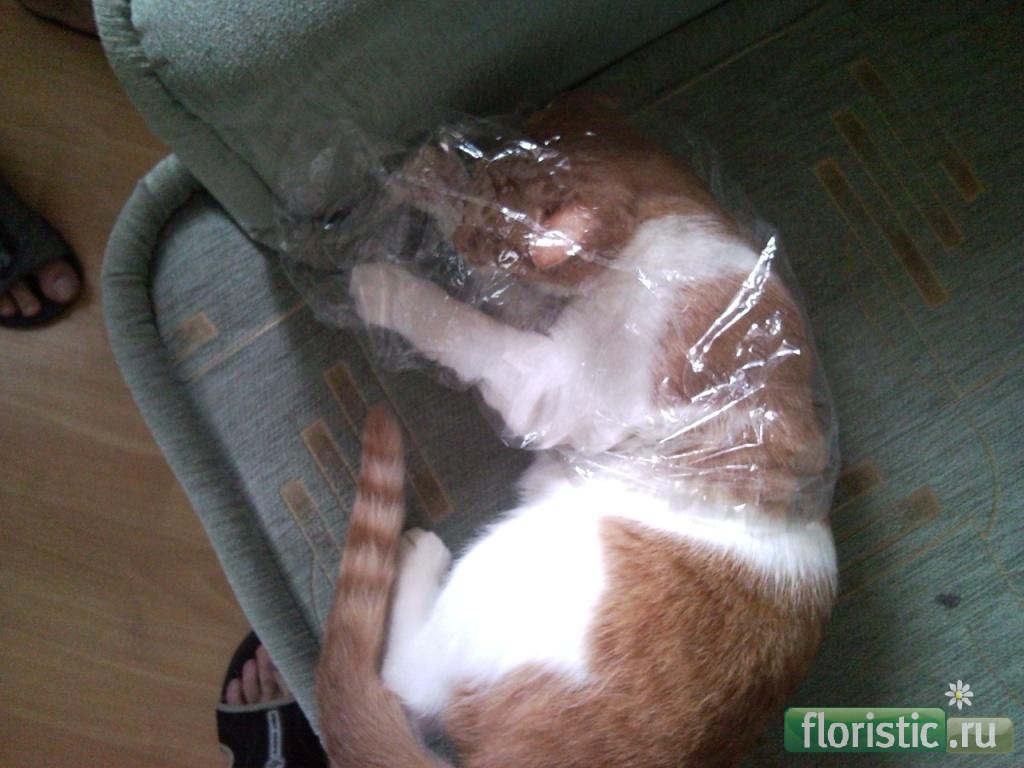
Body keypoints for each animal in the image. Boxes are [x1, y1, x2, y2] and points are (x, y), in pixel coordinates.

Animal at [316, 94, 838, 768]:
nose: (459, 245)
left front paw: (383, 281)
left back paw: (417, 552)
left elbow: (454, 322)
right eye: (477, 201)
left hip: (510, 570)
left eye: (488, 238)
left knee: (407, 677)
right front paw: (426, 176)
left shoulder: (547, 382)